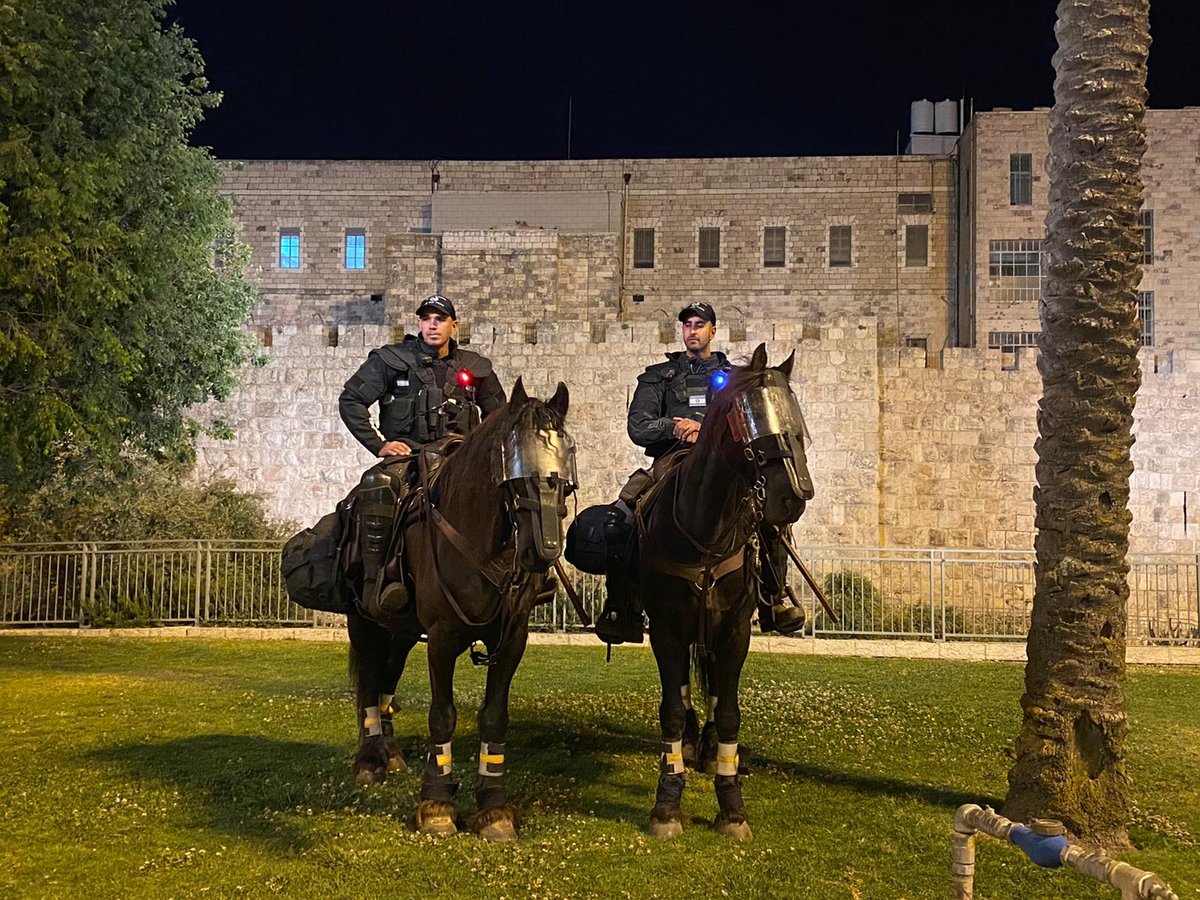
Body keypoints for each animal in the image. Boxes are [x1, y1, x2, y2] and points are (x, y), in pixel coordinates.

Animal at [345, 376, 573, 844]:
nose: (542, 551)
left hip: (402, 630)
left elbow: (495, 717)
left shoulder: (512, 641)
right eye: (515, 475)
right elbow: (442, 716)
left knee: (387, 676)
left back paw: (389, 751)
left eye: (563, 477)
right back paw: (369, 757)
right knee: (370, 682)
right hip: (364, 621)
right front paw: (437, 803)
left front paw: (494, 807)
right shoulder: (443, 638)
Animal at [633, 348, 811, 844]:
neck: (705, 533)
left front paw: (731, 806)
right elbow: (673, 710)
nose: (795, 495)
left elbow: (729, 711)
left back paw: (711, 746)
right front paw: (667, 803)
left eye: (795, 413)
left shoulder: (734, 633)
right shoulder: (668, 631)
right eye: (745, 413)